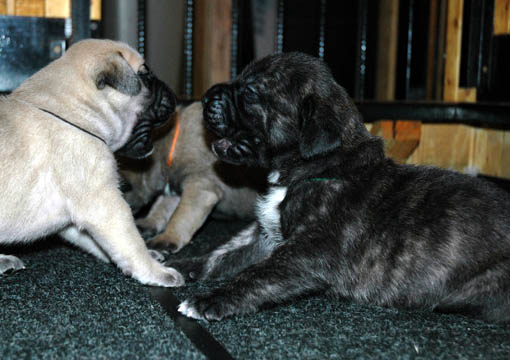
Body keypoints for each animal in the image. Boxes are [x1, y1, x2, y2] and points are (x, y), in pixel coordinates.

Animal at [0, 39, 183, 286]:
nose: (173, 94)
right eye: (146, 76)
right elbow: (131, 242)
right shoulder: (105, 204)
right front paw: (155, 271)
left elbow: (99, 243)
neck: (76, 109)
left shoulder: (76, 218)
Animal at [120, 100, 266, 253]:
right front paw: (148, 223)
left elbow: (180, 216)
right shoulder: (173, 189)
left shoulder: (200, 188)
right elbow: (160, 207)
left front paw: (167, 238)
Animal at [171, 51, 510, 324]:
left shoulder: (308, 251)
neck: (319, 166)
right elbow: (223, 252)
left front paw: (210, 300)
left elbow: (255, 274)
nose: (205, 97)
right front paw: (180, 265)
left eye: (251, 91)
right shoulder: (265, 235)